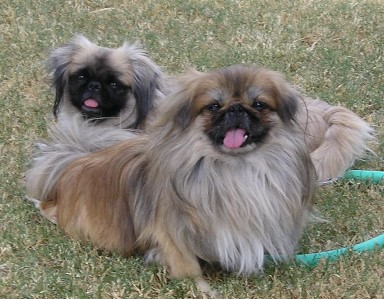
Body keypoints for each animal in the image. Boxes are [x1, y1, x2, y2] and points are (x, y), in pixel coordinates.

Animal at [28, 65, 318, 292]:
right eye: (214, 106)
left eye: (259, 104)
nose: (236, 109)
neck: (232, 169)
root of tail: (70, 167)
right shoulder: (171, 231)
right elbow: (187, 266)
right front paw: (202, 289)